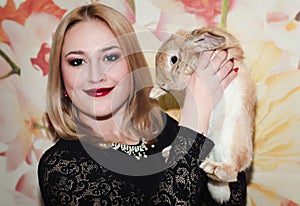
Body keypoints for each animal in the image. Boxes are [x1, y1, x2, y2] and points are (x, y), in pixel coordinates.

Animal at [150, 27, 255, 203]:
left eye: (173, 59)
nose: (162, 82)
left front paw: (187, 69)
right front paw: (155, 92)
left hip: (232, 140)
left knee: (233, 172)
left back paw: (213, 168)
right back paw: (169, 152)